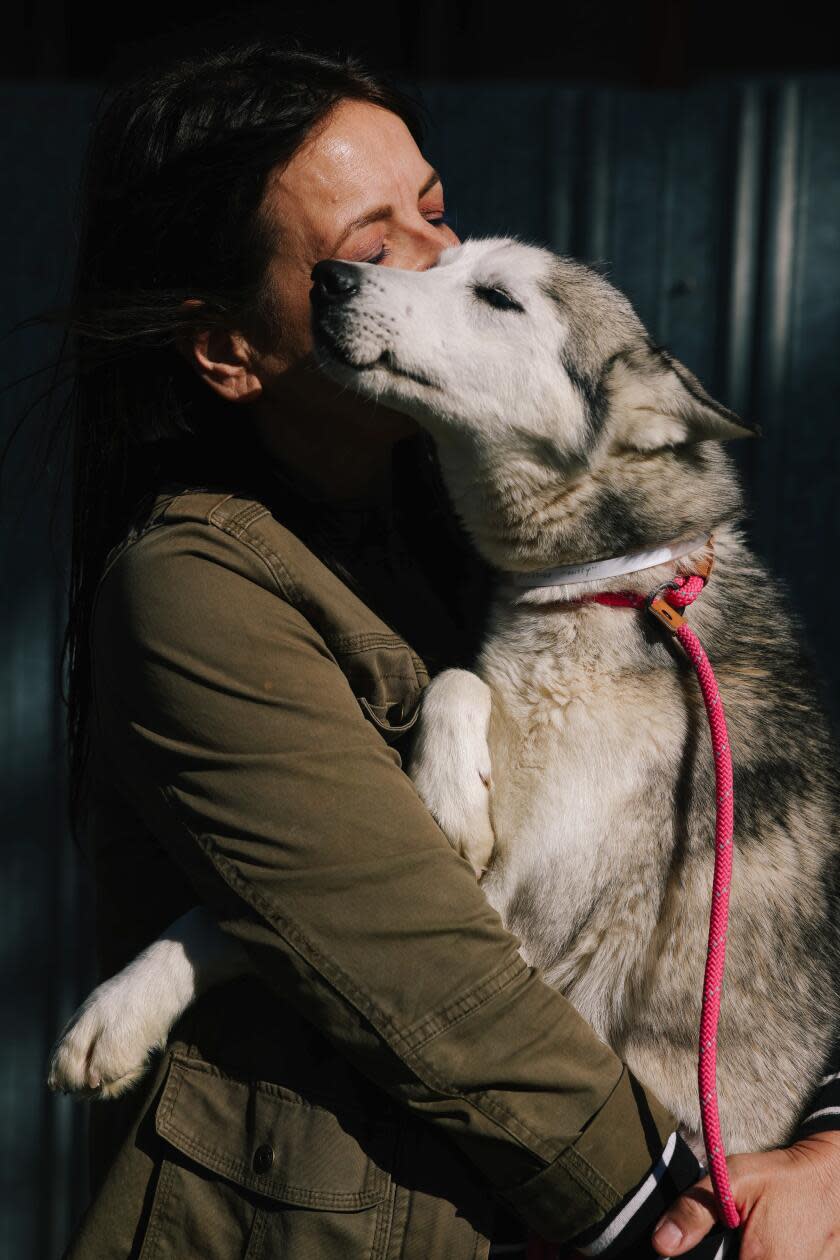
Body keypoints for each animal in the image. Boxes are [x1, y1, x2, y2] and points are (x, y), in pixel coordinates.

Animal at [49, 238, 840, 1159]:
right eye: (437, 261)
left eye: (497, 298)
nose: (330, 278)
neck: (609, 591)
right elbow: (455, 680)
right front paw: (452, 796)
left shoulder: (529, 933)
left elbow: (251, 927)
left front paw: (117, 1012)